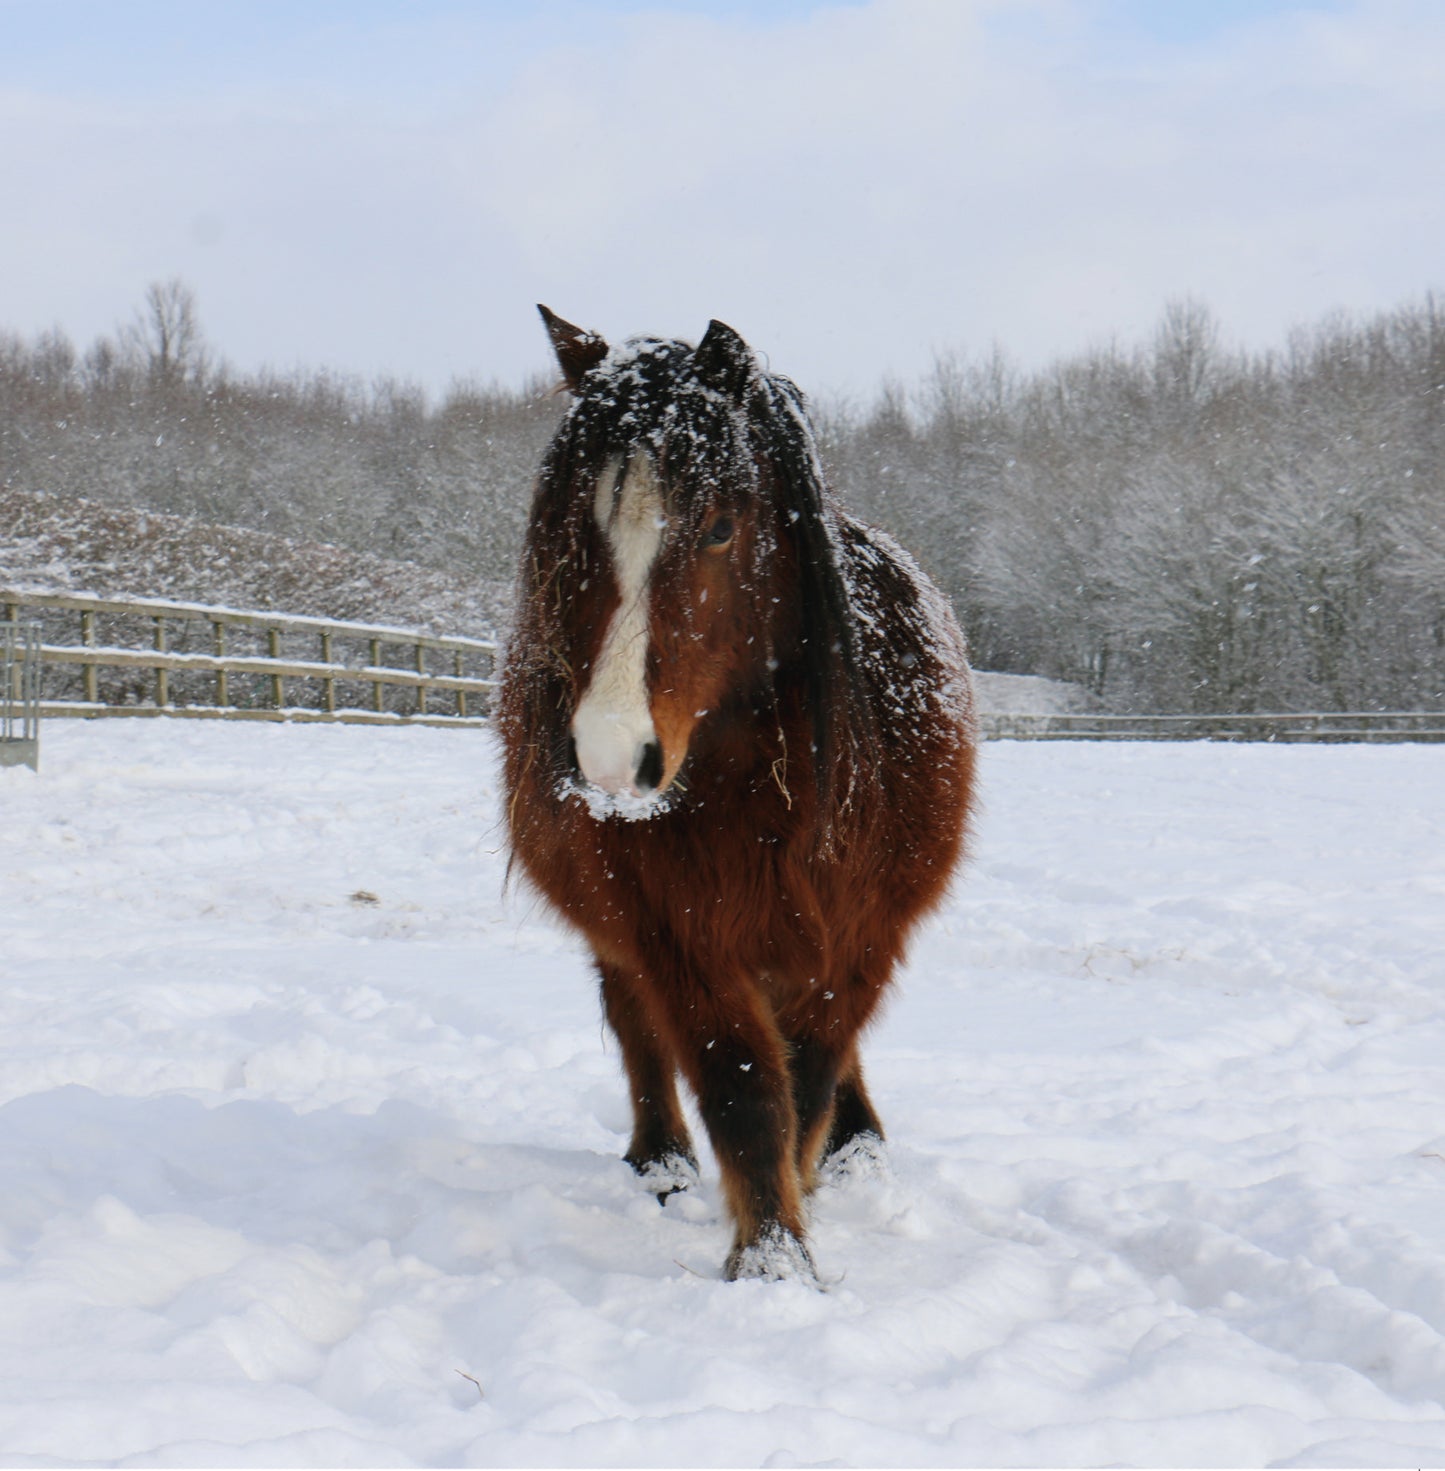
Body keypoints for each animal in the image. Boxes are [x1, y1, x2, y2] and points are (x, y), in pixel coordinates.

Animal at [503, 307, 977, 1276]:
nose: (610, 760)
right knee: (636, 1027)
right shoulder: (679, 936)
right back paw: (661, 1163)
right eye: (571, 529)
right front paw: (773, 1265)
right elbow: (745, 1092)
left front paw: (805, 1204)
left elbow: (811, 1073)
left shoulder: (859, 935)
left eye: (721, 526)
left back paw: (856, 1147)